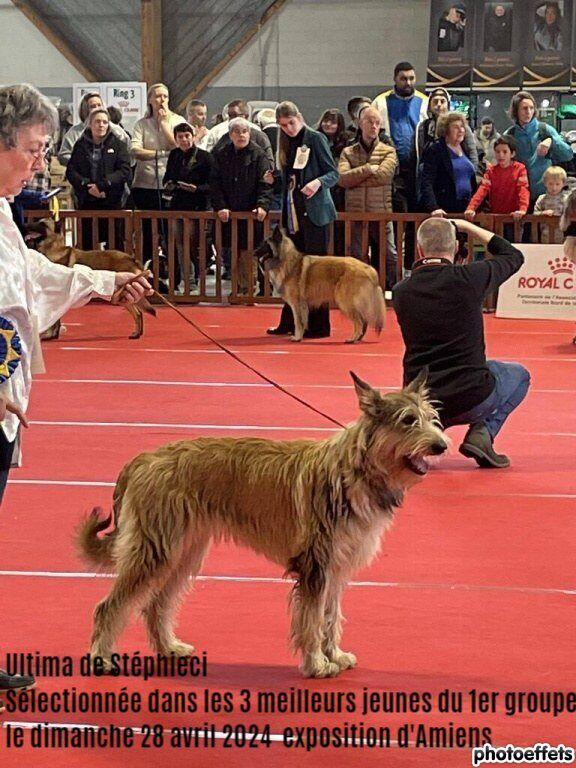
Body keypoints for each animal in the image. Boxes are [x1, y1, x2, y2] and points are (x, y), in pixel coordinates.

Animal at [24, 219, 155, 340]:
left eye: (43, 224)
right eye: (38, 221)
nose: (25, 225)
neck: (53, 248)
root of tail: (132, 258)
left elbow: (55, 320)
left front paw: (51, 335)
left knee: (138, 313)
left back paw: (136, 334)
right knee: (139, 313)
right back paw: (138, 333)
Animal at [77, 370, 447, 678]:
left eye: (432, 419)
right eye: (408, 420)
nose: (441, 445)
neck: (355, 470)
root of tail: (143, 459)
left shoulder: (336, 567)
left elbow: (330, 616)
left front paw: (334, 654)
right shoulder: (316, 565)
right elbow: (312, 619)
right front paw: (316, 663)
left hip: (184, 552)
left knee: (157, 604)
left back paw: (168, 647)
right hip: (154, 551)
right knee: (109, 606)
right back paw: (102, 657)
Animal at [255, 227, 386, 342]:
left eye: (265, 244)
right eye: (261, 243)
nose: (254, 252)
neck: (286, 260)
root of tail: (369, 268)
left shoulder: (296, 303)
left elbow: (298, 321)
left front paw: (297, 338)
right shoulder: (303, 305)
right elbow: (302, 321)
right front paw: (300, 335)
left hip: (345, 301)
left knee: (359, 321)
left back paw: (352, 338)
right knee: (363, 320)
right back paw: (358, 337)